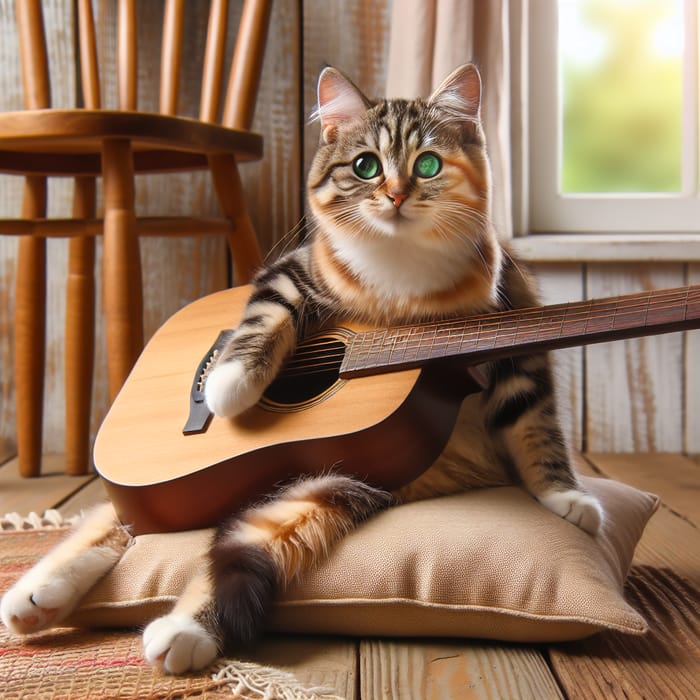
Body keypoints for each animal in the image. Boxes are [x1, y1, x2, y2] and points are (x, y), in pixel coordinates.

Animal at [0, 64, 600, 672]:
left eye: (428, 164)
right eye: (366, 166)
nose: (396, 194)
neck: (402, 280)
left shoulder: (515, 330)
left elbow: (534, 423)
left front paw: (564, 497)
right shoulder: (293, 270)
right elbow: (265, 316)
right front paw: (222, 384)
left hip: (335, 485)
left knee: (231, 541)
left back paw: (167, 629)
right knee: (113, 519)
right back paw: (33, 594)